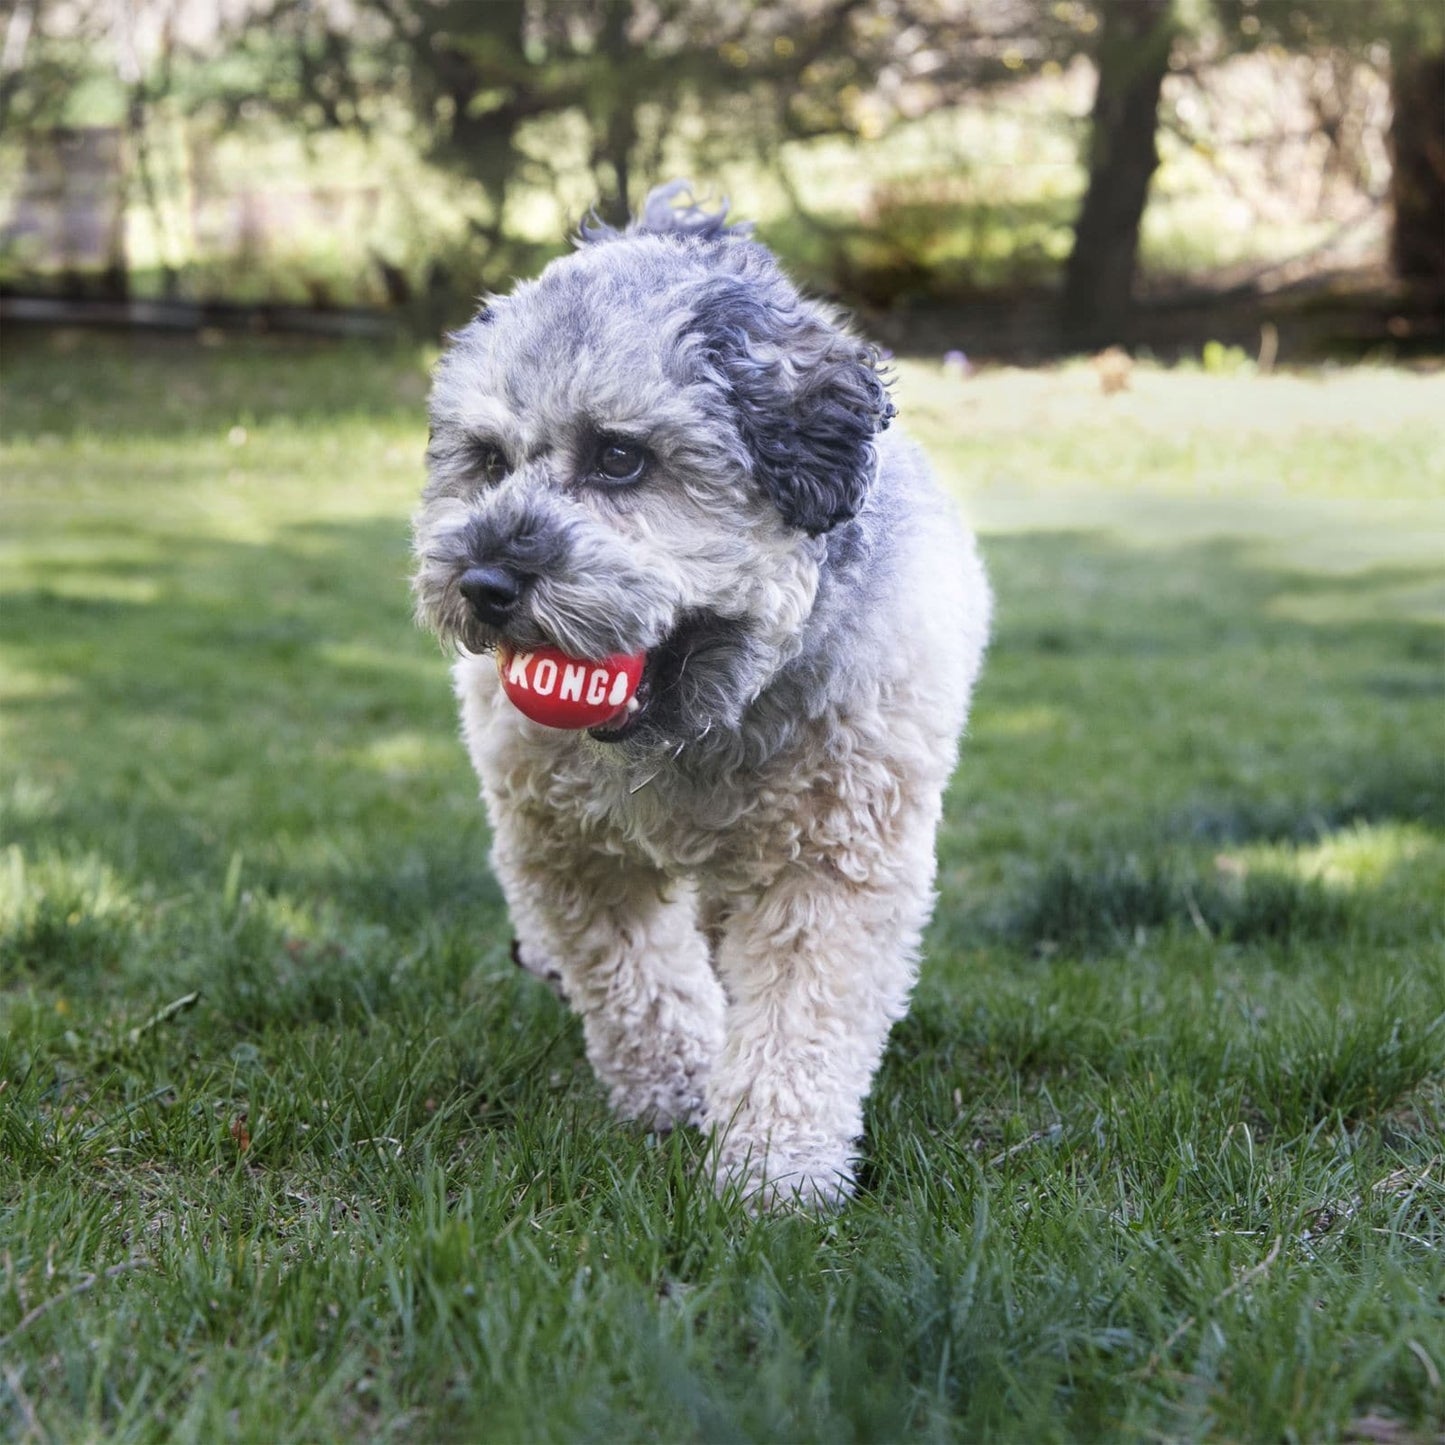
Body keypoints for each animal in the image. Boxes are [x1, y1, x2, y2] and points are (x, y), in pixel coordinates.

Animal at [413, 189, 988, 1208]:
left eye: (619, 457)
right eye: (486, 459)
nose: (483, 582)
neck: (695, 732)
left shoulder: (830, 863)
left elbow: (799, 1018)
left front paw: (771, 1171)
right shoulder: (567, 850)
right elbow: (634, 978)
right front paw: (677, 1087)